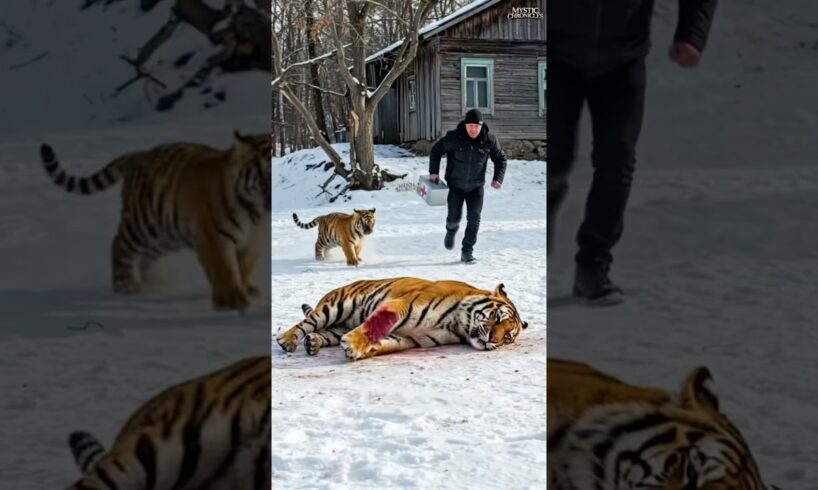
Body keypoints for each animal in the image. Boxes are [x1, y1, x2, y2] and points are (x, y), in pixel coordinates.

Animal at [39, 131, 271, 310]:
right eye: (263, 176)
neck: (254, 213)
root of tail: (138, 154)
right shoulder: (215, 237)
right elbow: (225, 269)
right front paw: (233, 302)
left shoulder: (254, 239)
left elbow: (245, 266)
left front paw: (248, 290)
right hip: (141, 225)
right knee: (118, 244)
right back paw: (126, 287)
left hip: (165, 235)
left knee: (145, 257)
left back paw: (153, 285)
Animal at [275, 277, 528, 361]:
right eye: (496, 317)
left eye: (507, 337)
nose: (493, 340)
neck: (457, 325)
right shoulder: (405, 303)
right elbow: (377, 323)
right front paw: (354, 346)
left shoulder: (410, 338)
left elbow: (385, 344)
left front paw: (362, 350)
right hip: (335, 307)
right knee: (306, 323)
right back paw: (287, 339)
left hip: (338, 327)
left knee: (323, 333)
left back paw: (312, 343)